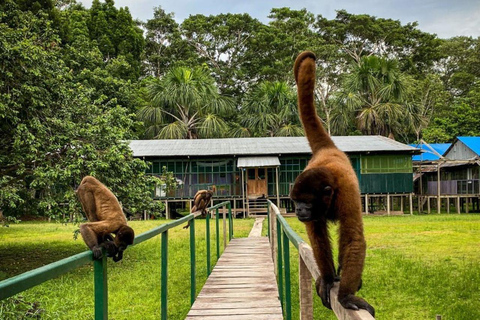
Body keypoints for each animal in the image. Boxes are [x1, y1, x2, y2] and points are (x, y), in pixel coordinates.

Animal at [288, 51, 376, 316]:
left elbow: (353, 238)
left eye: (305, 202)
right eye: (295, 201)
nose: (298, 210)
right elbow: (317, 236)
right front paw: (328, 279)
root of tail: (328, 149)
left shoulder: (346, 193)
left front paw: (346, 296)